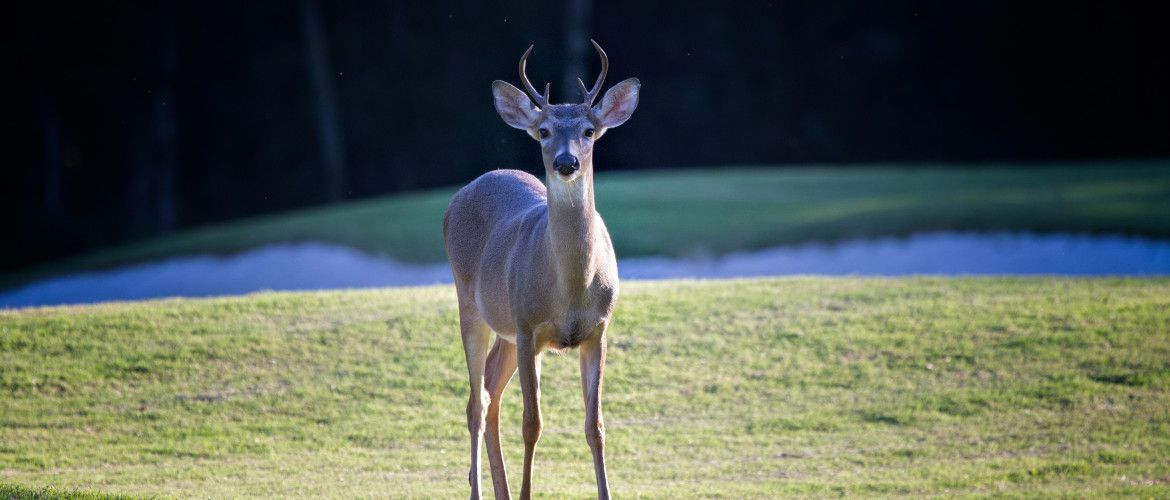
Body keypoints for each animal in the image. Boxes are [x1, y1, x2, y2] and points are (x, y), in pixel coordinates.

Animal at [443, 40, 640, 500]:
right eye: (545, 130)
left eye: (589, 130)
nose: (567, 162)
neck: (571, 288)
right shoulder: (530, 326)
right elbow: (532, 424)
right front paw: (528, 492)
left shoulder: (598, 329)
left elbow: (595, 426)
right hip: (471, 304)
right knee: (476, 402)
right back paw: (480, 491)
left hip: (507, 330)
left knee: (490, 391)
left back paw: (500, 490)